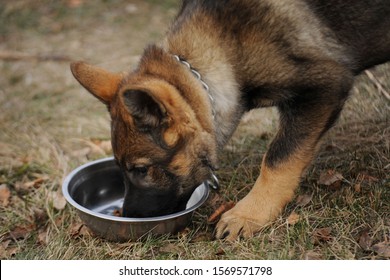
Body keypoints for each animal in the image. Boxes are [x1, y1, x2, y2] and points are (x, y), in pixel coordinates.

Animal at [70, 0, 390, 241]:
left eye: (140, 170)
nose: (129, 218)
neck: (224, 49)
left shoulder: (326, 85)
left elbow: (279, 157)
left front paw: (249, 213)